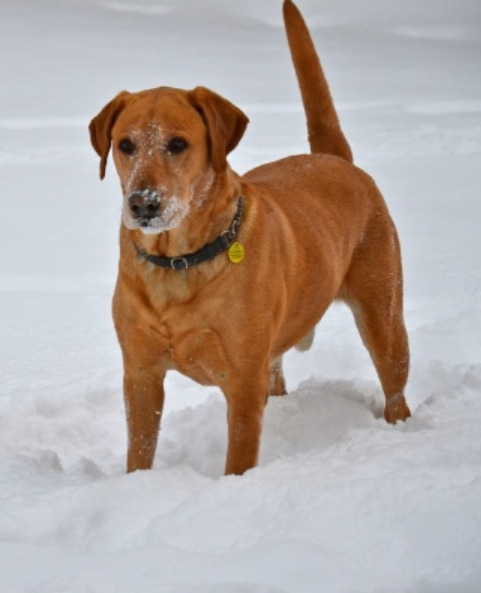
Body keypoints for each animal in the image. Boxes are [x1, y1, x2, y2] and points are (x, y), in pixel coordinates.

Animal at [87, 0, 408, 474]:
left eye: (178, 144)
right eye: (124, 145)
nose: (144, 204)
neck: (178, 263)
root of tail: (335, 160)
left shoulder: (242, 381)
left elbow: (238, 457)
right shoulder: (141, 375)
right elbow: (139, 451)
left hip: (383, 319)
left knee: (396, 388)